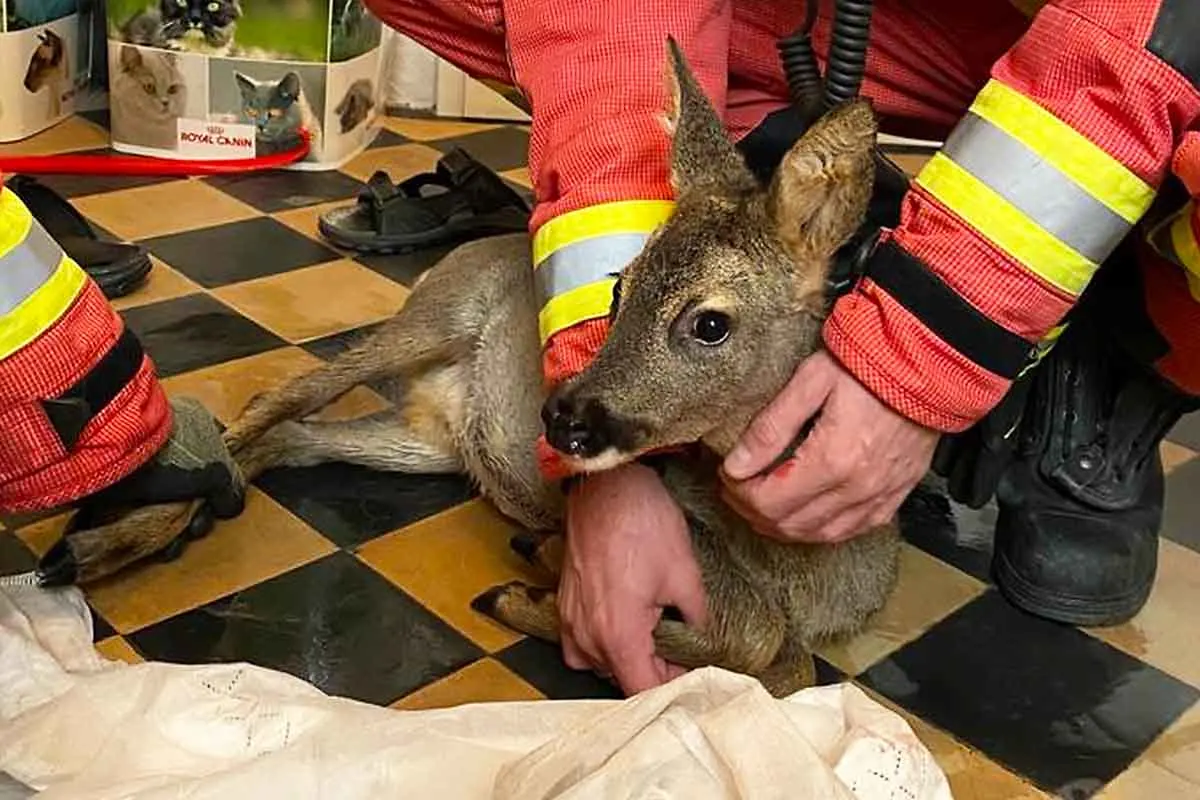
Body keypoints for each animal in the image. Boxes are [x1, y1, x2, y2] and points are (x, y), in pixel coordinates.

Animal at [52, 39, 902, 698]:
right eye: (619, 286)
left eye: (711, 322)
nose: (563, 414)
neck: (801, 564)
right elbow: (765, 646)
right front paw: (526, 590)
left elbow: (781, 661)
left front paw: (534, 583)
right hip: (428, 324)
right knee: (280, 396)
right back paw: (116, 532)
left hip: (431, 443)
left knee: (291, 436)